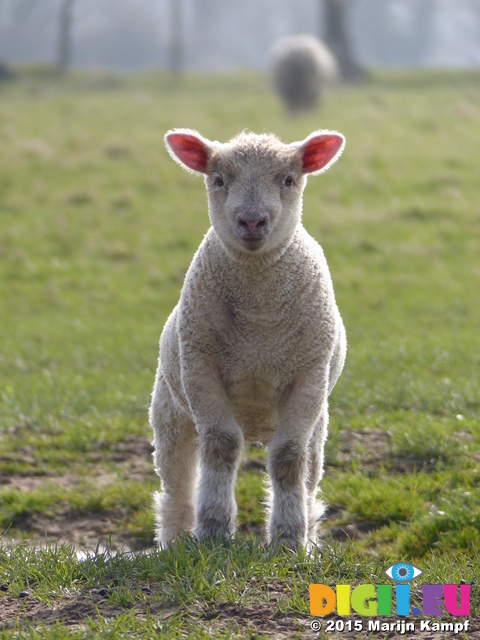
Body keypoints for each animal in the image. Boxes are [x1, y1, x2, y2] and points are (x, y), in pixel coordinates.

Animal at [148, 126, 346, 552]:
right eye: (219, 180)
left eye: (288, 180)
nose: (252, 221)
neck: (260, 325)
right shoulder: (201, 369)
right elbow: (221, 446)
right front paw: (213, 530)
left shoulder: (308, 375)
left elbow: (288, 458)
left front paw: (289, 538)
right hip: (170, 413)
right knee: (176, 486)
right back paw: (176, 540)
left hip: (319, 423)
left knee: (308, 471)